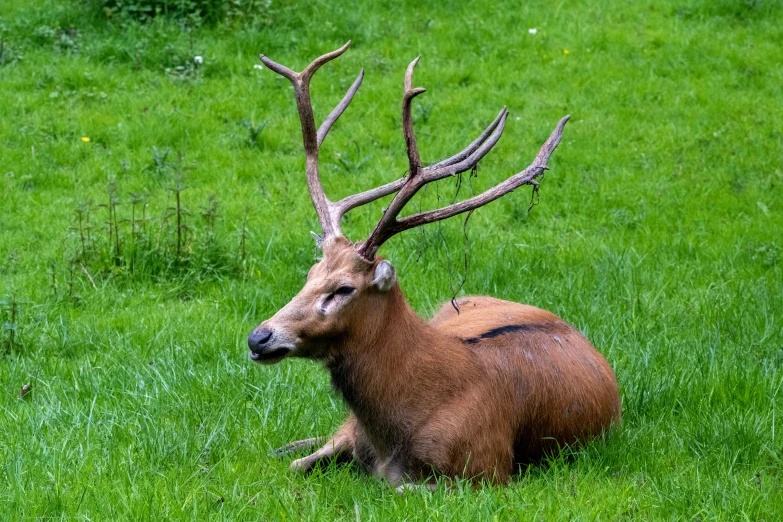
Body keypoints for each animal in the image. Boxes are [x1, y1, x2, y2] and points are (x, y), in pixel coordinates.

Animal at [248, 42, 620, 490]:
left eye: (344, 289)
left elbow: (398, 487)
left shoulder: (488, 470)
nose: (259, 337)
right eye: (309, 275)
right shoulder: (352, 436)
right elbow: (296, 466)